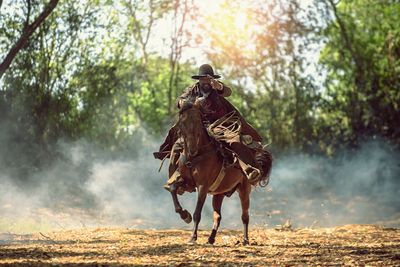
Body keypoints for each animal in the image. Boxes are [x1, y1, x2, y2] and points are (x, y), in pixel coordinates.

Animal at [167, 101, 255, 245]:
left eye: (198, 120)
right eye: (182, 121)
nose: (192, 149)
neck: (196, 156)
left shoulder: (202, 187)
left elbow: (197, 213)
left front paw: (193, 237)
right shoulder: (187, 182)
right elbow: (174, 189)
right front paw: (185, 215)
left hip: (244, 190)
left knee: (245, 216)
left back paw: (245, 240)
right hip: (218, 194)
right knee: (217, 216)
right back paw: (211, 238)